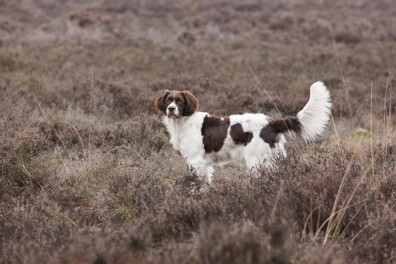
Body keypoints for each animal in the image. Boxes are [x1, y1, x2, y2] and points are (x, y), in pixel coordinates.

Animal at [155, 82, 332, 184]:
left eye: (179, 101)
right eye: (168, 100)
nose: (171, 109)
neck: (184, 121)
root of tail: (272, 122)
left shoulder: (196, 161)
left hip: (256, 160)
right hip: (271, 159)